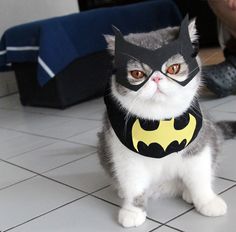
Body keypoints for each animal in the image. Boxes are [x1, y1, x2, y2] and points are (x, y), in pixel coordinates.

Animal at [97, 18, 236, 228]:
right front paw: (132, 211)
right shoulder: (125, 157)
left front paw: (207, 201)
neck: (160, 121)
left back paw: (188, 193)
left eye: (173, 68)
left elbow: (200, 177)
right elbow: (134, 185)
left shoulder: (198, 145)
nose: (156, 77)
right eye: (137, 74)